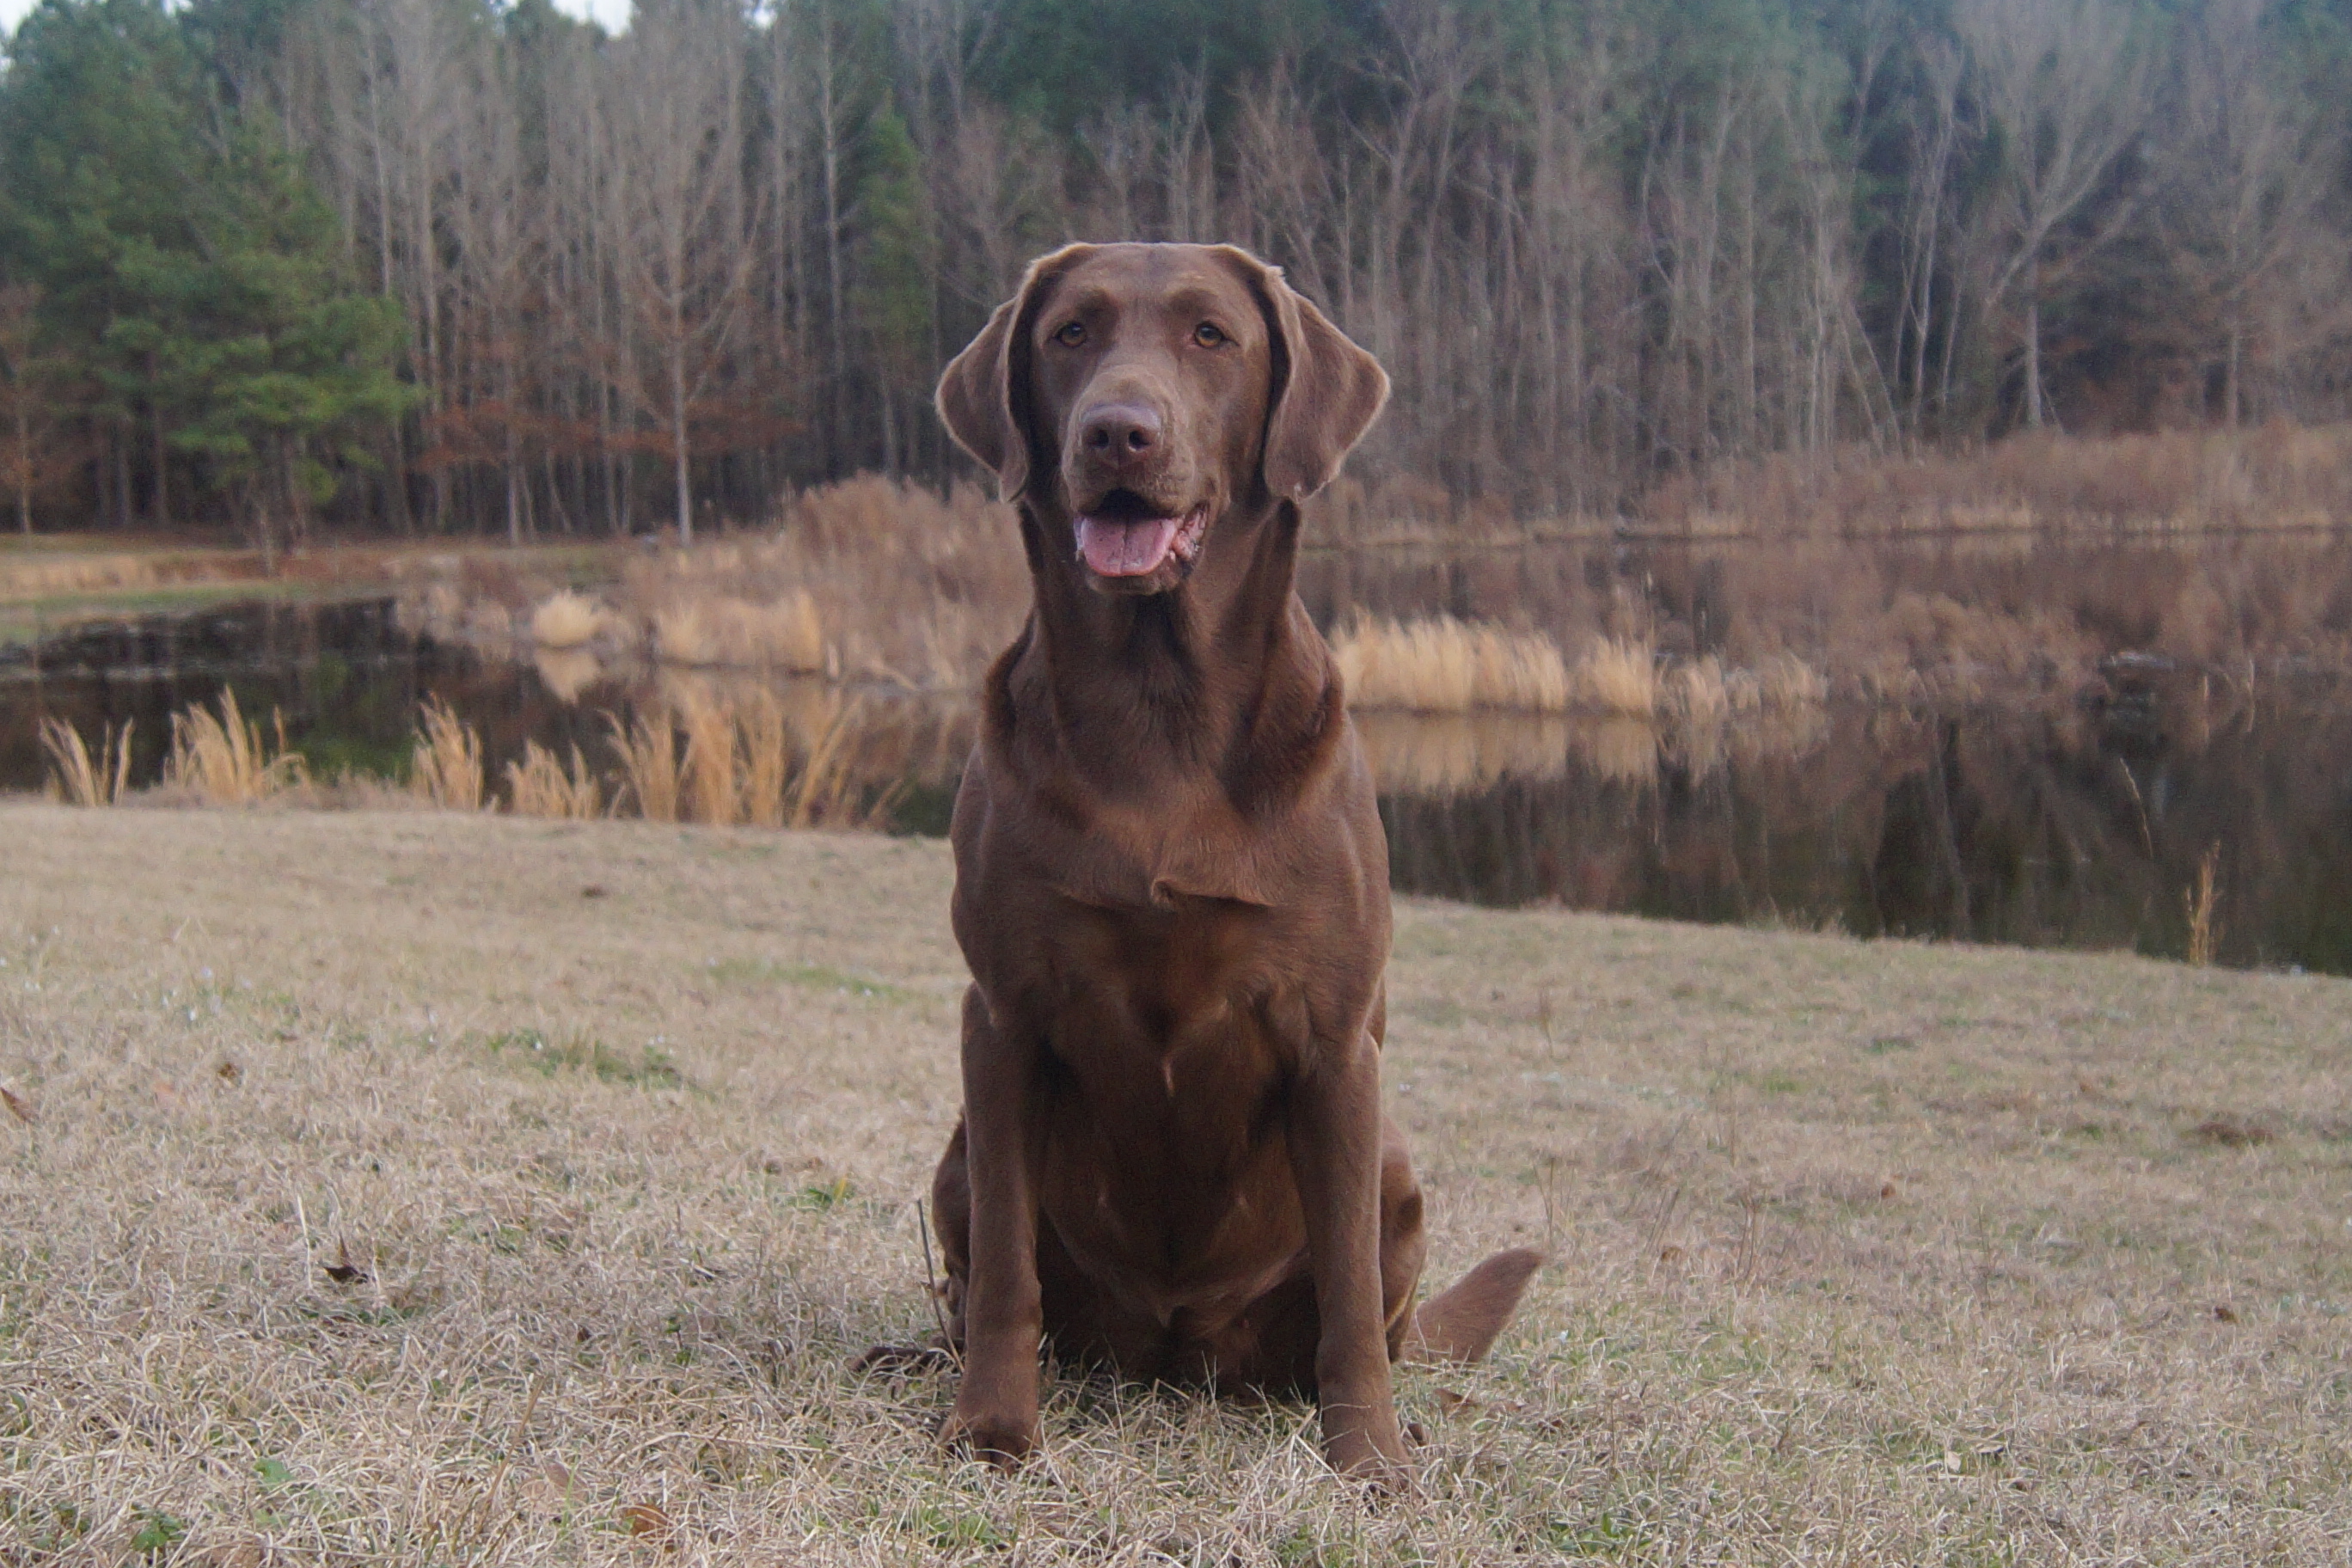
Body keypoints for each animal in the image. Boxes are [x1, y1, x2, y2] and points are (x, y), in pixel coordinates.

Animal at [917, 245, 1542, 1485]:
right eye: (1069, 334)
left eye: (1212, 337)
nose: (1118, 432)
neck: (1160, 712)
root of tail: (1171, 1350)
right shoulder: (1001, 1015)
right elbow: (1007, 1262)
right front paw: (995, 1427)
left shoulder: (1334, 1040)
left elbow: (1347, 1294)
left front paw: (1369, 1459)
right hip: (952, 1153)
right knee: (976, 1276)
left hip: (1396, 1168)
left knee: (1378, 1312)